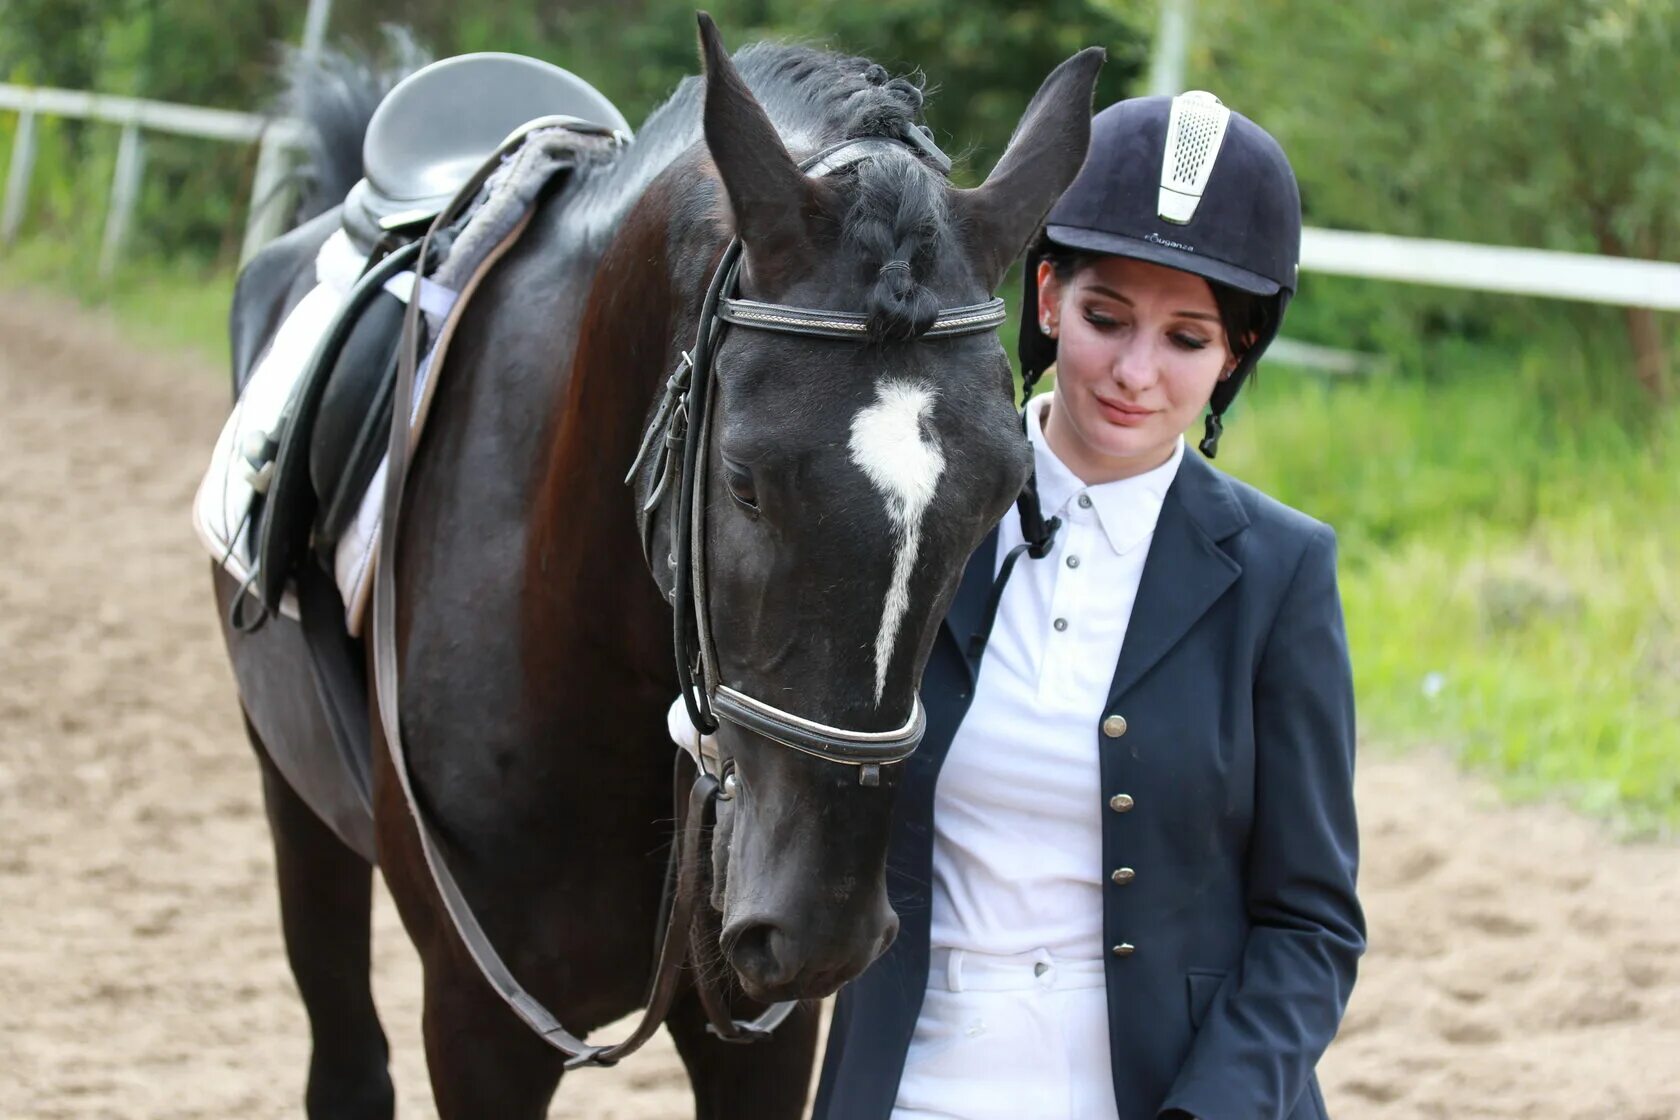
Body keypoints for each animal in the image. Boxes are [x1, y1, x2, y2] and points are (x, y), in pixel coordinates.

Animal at [213, 17, 1102, 1120]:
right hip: (293, 798)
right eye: (744, 482)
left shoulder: (764, 1031)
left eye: (998, 494)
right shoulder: (477, 1023)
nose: (821, 927)